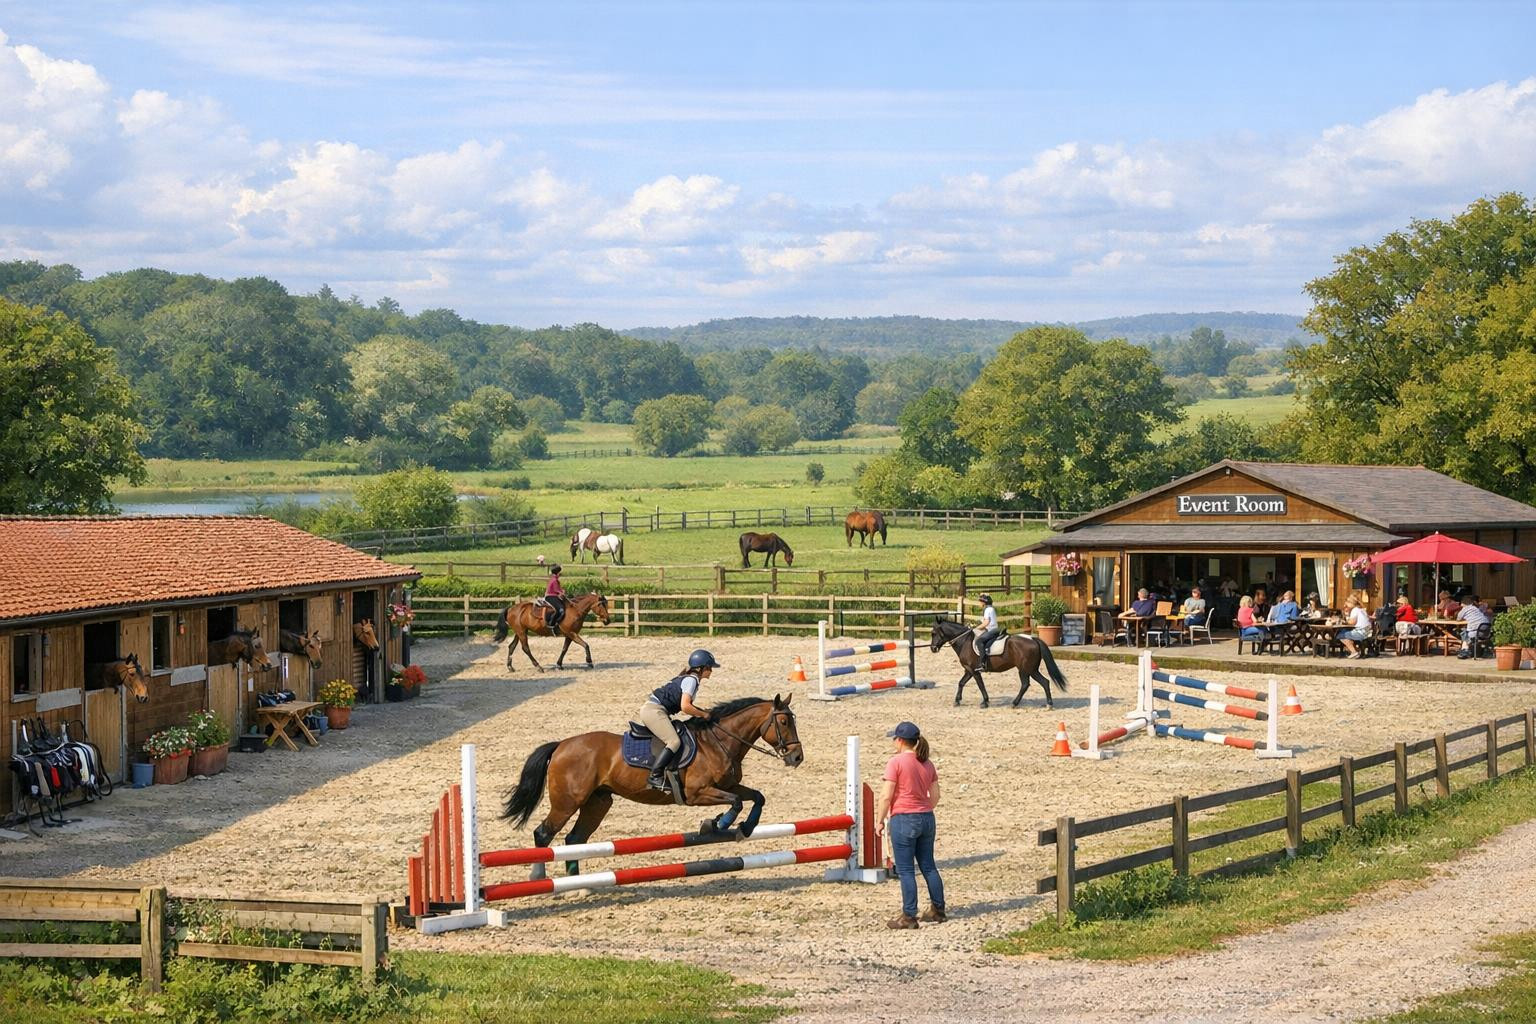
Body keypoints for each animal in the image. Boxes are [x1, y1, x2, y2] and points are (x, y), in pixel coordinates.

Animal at [501, 695, 802, 878]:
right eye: (783, 721)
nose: (797, 757)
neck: (718, 742)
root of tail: (561, 745)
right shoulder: (697, 794)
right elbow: (736, 802)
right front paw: (716, 823)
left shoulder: (731, 785)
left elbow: (756, 797)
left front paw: (745, 827)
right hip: (567, 802)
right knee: (544, 834)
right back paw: (539, 877)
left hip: (598, 802)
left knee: (574, 840)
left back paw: (580, 887)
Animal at [930, 616, 1068, 709]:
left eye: (933, 633)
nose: (933, 648)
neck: (964, 641)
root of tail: (1033, 639)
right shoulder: (968, 670)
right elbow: (961, 683)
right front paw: (957, 701)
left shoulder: (974, 670)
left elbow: (980, 685)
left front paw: (985, 702)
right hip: (1030, 669)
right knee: (1041, 682)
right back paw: (1045, 704)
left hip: (1026, 669)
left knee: (1029, 684)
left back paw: (1018, 703)